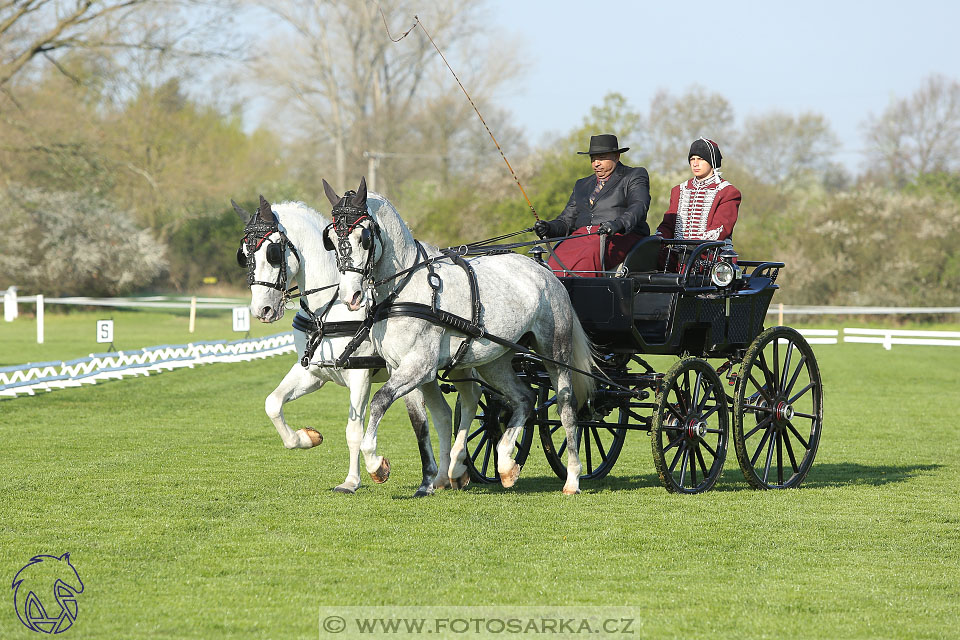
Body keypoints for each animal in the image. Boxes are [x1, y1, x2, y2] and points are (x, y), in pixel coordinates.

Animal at [234, 195, 456, 496]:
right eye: (244, 254)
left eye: (273, 253)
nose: (261, 310)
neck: (329, 308)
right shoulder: (313, 372)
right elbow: (273, 403)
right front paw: (306, 438)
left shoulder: (360, 374)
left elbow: (354, 431)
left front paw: (355, 479)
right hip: (424, 373)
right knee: (443, 416)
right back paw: (444, 478)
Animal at [322, 178, 592, 492]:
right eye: (331, 239)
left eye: (364, 237)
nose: (350, 296)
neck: (405, 287)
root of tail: (544, 271)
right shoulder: (400, 366)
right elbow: (423, 419)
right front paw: (430, 478)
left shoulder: (419, 365)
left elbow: (380, 401)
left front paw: (377, 465)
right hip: (495, 361)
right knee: (524, 398)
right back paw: (505, 464)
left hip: (555, 352)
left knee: (566, 406)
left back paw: (572, 478)